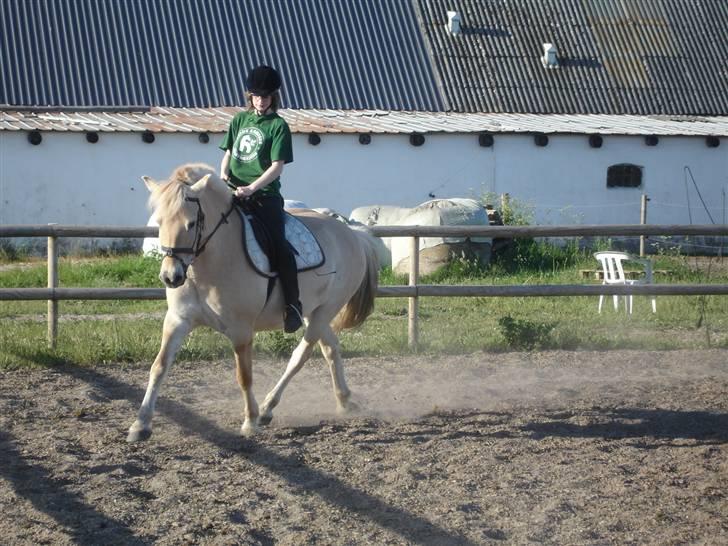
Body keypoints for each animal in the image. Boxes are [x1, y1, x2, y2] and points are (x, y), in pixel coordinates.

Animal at [129, 164, 382, 440]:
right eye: (159, 222)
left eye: (192, 223)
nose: (171, 277)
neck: (209, 265)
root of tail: (352, 234)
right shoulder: (177, 320)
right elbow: (159, 367)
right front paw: (140, 424)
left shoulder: (241, 330)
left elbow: (244, 375)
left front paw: (250, 420)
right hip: (312, 312)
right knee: (330, 348)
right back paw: (343, 399)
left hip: (325, 311)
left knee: (300, 355)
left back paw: (267, 407)